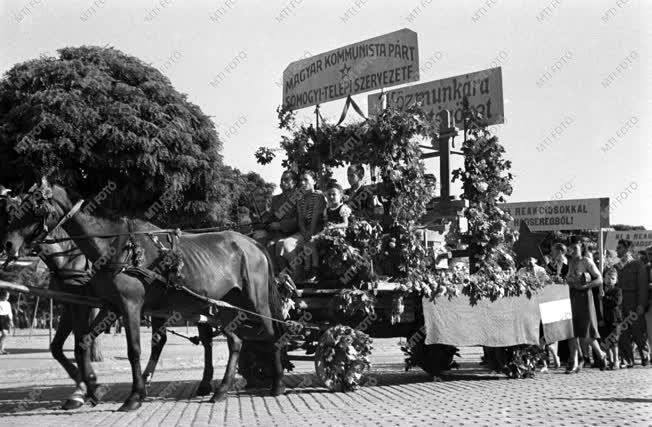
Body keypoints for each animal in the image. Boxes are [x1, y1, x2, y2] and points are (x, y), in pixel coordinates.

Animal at [0, 180, 286, 412]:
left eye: (34, 208)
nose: (8, 245)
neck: (117, 246)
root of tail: (251, 243)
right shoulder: (109, 306)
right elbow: (82, 341)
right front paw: (91, 387)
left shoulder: (130, 306)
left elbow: (133, 349)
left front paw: (133, 396)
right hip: (222, 306)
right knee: (234, 341)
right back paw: (220, 390)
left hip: (255, 301)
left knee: (271, 334)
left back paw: (277, 383)